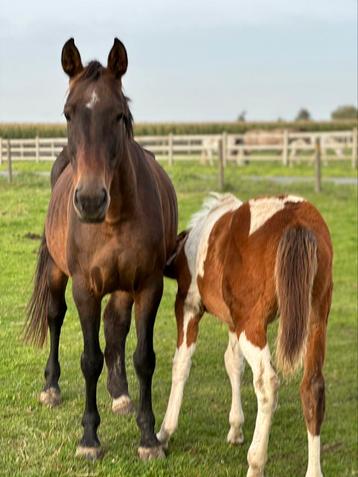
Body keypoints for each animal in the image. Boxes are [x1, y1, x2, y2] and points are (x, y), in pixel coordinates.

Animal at [23, 39, 178, 460]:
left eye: (119, 115)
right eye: (68, 113)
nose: (91, 200)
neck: (114, 219)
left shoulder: (148, 286)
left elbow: (143, 358)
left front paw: (148, 436)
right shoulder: (85, 288)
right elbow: (89, 359)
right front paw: (89, 438)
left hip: (123, 287)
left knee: (116, 326)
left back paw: (120, 393)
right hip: (57, 274)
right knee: (55, 317)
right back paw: (50, 387)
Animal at [158, 192, 334, 474]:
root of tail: (297, 222)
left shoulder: (188, 306)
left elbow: (181, 364)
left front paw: (165, 433)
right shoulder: (234, 321)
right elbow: (233, 364)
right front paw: (236, 428)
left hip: (252, 326)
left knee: (267, 384)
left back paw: (255, 463)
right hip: (315, 319)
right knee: (312, 387)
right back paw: (313, 472)